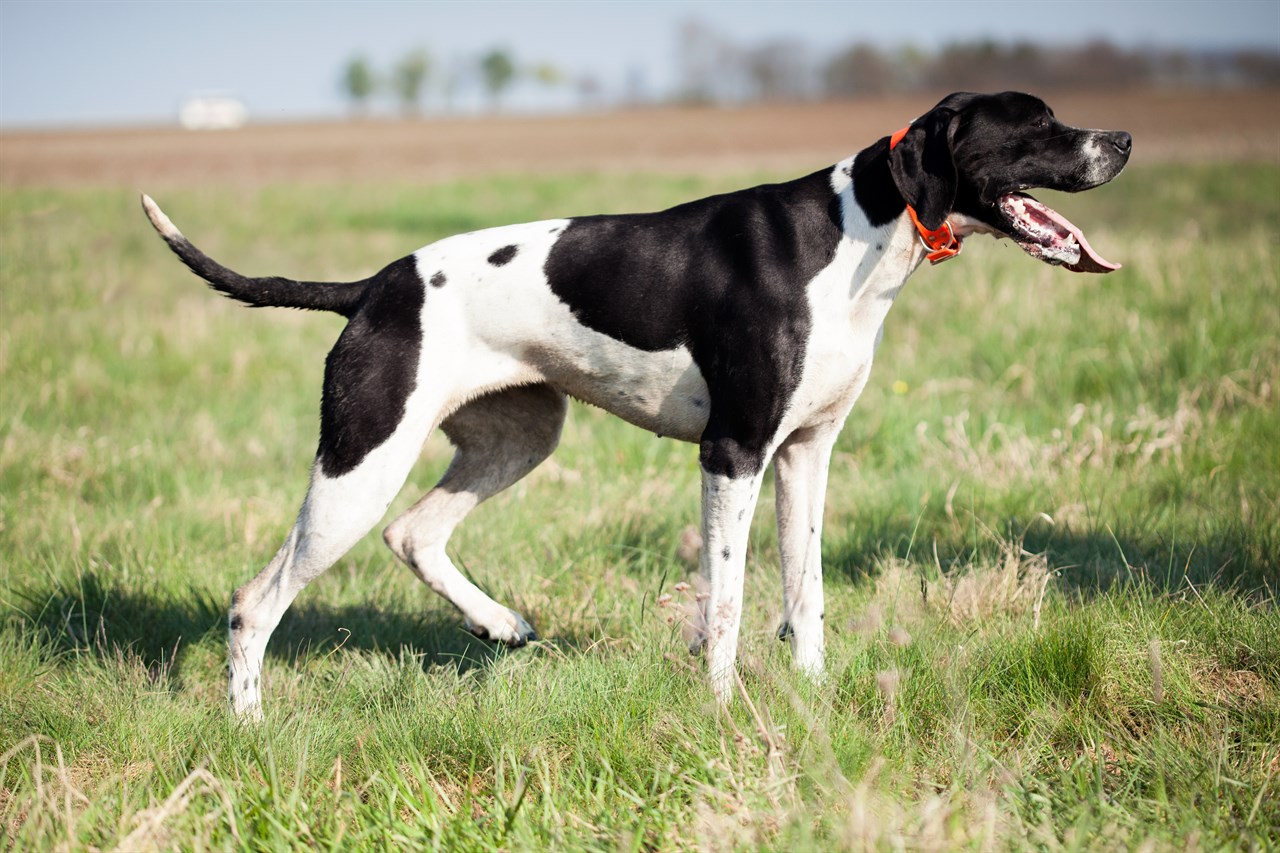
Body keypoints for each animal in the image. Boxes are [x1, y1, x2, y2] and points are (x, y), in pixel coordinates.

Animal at [142, 89, 1131, 712]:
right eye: (1037, 123)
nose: (1122, 142)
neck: (858, 230)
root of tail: (373, 288)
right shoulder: (733, 452)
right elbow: (727, 601)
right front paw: (725, 709)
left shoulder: (806, 454)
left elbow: (805, 592)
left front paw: (813, 698)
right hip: (361, 459)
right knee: (255, 601)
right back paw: (249, 728)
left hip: (516, 438)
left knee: (413, 532)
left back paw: (498, 622)